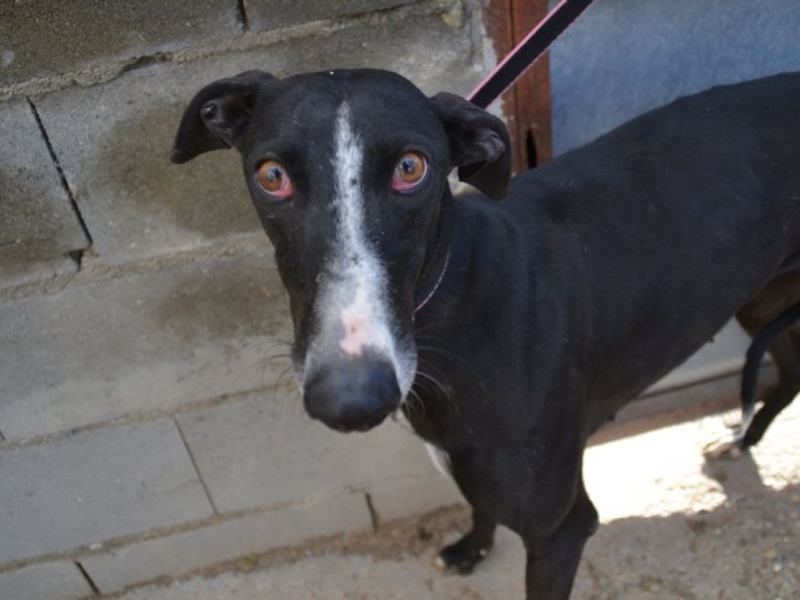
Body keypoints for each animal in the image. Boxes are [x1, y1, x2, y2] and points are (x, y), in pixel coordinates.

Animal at [173, 69, 800, 596]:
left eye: (411, 167)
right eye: (272, 175)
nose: (350, 399)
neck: (456, 300)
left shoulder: (562, 530)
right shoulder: (463, 462)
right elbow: (479, 507)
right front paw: (473, 548)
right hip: (761, 297)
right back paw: (744, 439)